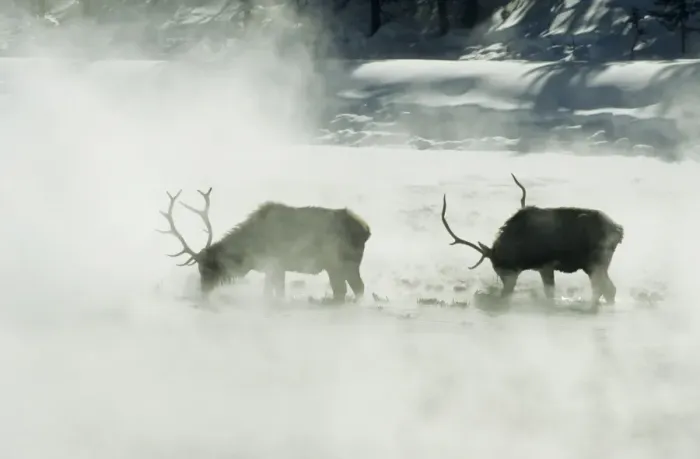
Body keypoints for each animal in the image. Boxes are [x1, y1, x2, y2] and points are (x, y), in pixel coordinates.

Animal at [158, 188, 371, 303]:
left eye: (207, 267)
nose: (202, 293)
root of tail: (367, 230)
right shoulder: (274, 268)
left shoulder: (275, 264)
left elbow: (274, 293)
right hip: (336, 267)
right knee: (345, 291)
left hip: (344, 264)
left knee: (354, 289)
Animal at [441, 174, 624, 312]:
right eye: (497, 270)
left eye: (500, 267)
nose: (504, 294)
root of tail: (619, 230)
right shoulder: (543, 267)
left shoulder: (547, 265)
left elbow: (550, 293)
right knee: (606, 289)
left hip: (596, 262)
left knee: (605, 289)